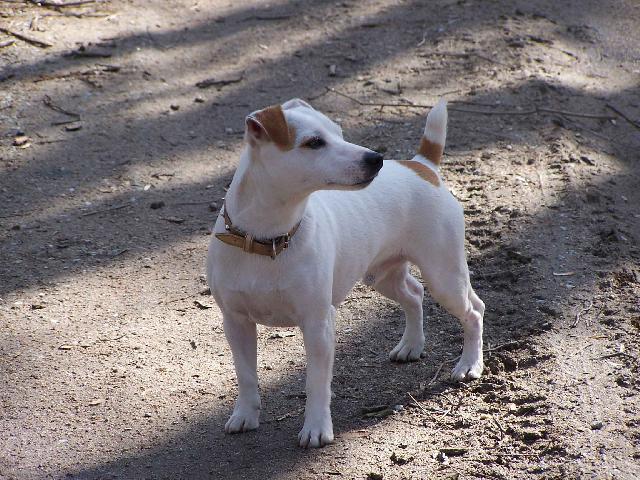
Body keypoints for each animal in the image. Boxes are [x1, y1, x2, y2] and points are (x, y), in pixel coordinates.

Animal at [208, 95, 482, 448]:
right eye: (314, 142)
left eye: (339, 133)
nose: (375, 159)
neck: (269, 238)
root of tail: (422, 165)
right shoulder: (236, 323)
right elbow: (245, 375)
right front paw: (245, 415)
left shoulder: (318, 324)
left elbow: (316, 383)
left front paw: (316, 429)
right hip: (383, 276)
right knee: (415, 295)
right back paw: (411, 345)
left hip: (444, 276)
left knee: (473, 312)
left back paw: (469, 364)